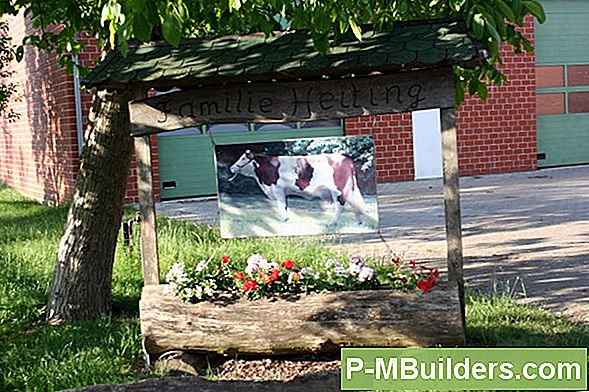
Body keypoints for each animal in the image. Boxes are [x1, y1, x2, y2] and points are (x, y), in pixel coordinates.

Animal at [229, 149, 362, 225]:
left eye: (243, 158)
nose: (232, 167)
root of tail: (346, 158)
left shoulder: (278, 190)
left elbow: (281, 205)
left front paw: (283, 220)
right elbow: (285, 206)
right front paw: (286, 220)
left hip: (338, 190)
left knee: (340, 206)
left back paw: (333, 223)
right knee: (354, 204)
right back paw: (358, 223)